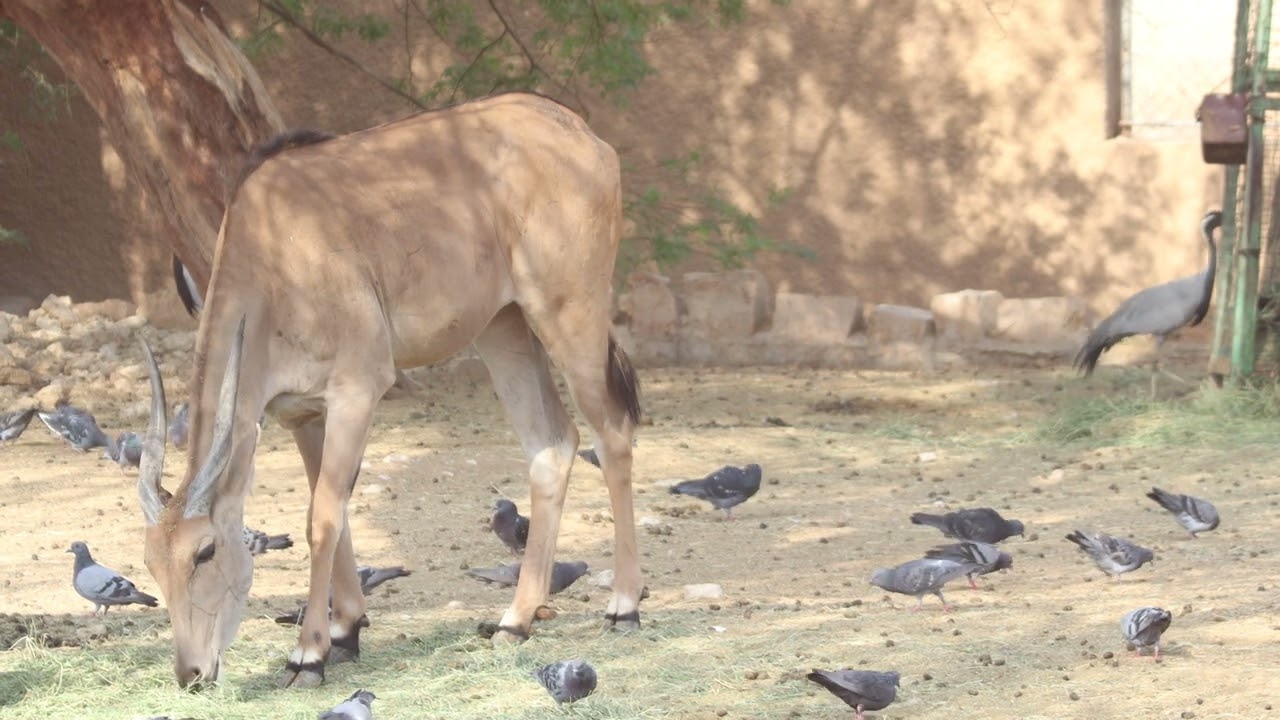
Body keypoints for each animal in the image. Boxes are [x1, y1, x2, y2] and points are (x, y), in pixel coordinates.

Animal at [136, 92, 643, 689]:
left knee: (612, 433)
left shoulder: (358, 389)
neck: (273, 250)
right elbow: (332, 513)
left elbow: (322, 520)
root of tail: (585, 136)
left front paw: (308, 655)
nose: (191, 672)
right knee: (552, 444)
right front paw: (344, 632)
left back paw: (624, 606)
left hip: (569, 313)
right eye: (151, 562)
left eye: (205, 551)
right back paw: (515, 621)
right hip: (505, 328)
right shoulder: (303, 414)